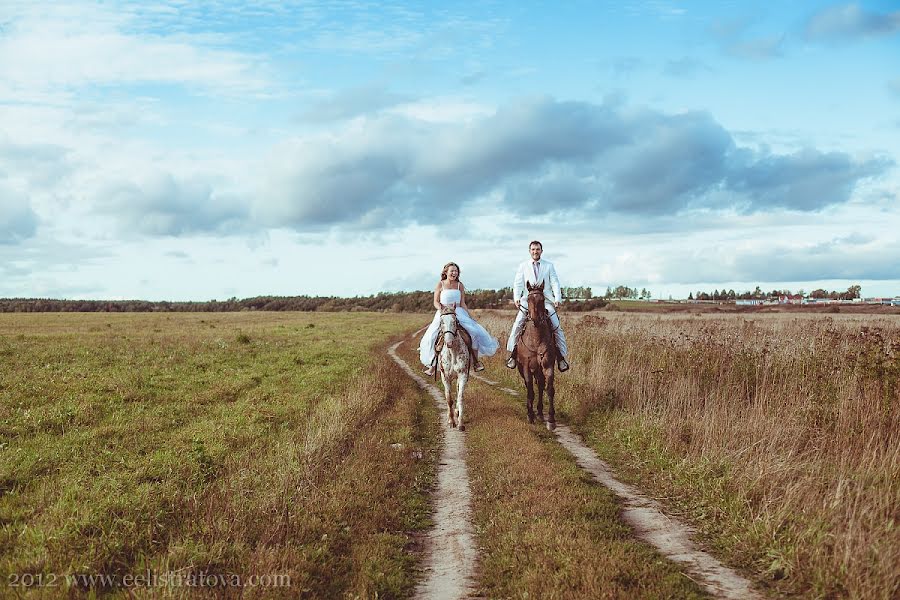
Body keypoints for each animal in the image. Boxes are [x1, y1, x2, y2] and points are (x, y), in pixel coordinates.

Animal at [512, 282, 556, 426]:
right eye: (528, 299)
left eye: (542, 300)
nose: (536, 319)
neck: (536, 339)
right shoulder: (526, 367)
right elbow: (530, 390)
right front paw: (530, 415)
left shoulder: (548, 365)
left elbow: (549, 389)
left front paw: (551, 419)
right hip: (523, 369)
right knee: (529, 386)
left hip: (538, 369)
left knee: (541, 385)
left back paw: (540, 413)